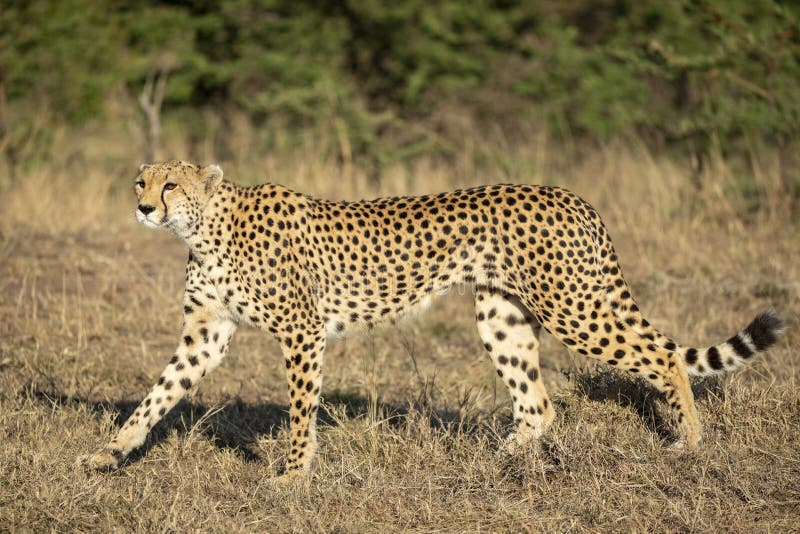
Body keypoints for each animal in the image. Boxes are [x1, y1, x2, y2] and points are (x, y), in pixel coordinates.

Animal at [79, 161, 780, 480]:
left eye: (171, 184)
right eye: (141, 179)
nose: (143, 206)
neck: (205, 229)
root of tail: (569, 193)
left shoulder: (301, 332)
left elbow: (301, 409)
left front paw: (295, 473)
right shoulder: (206, 334)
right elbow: (158, 393)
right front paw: (108, 451)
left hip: (570, 304)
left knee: (660, 351)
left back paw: (689, 441)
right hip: (501, 314)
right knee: (538, 402)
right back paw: (495, 461)